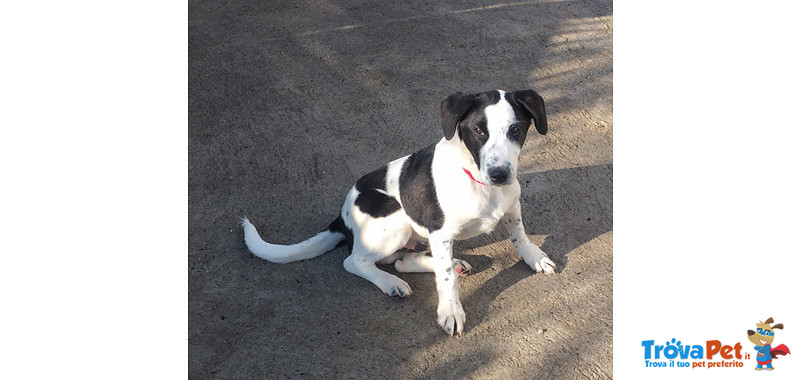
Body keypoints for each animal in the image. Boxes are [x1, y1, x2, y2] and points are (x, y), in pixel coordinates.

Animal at [244, 90, 556, 336]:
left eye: (515, 129)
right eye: (479, 131)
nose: (500, 174)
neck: (478, 181)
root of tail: (341, 217)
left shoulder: (512, 206)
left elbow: (519, 236)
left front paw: (534, 257)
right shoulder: (440, 231)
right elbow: (446, 279)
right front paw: (450, 311)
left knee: (403, 261)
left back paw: (447, 264)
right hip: (395, 220)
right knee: (354, 261)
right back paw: (391, 282)